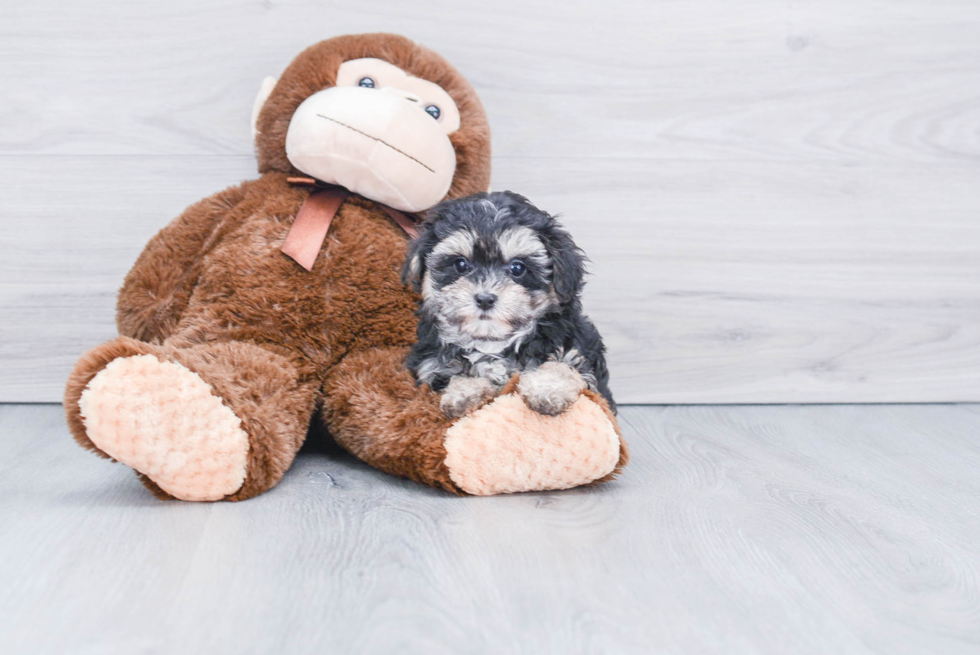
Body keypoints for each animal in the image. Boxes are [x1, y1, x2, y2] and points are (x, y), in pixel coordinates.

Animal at [398, 190, 612, 418]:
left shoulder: (579, 351)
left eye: (517, 268)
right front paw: (464, 393)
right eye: (461, 265)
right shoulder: (431, 368)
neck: (491, 342)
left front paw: (548, 389)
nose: (484, 298)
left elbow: (562, 365)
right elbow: (457, 375)